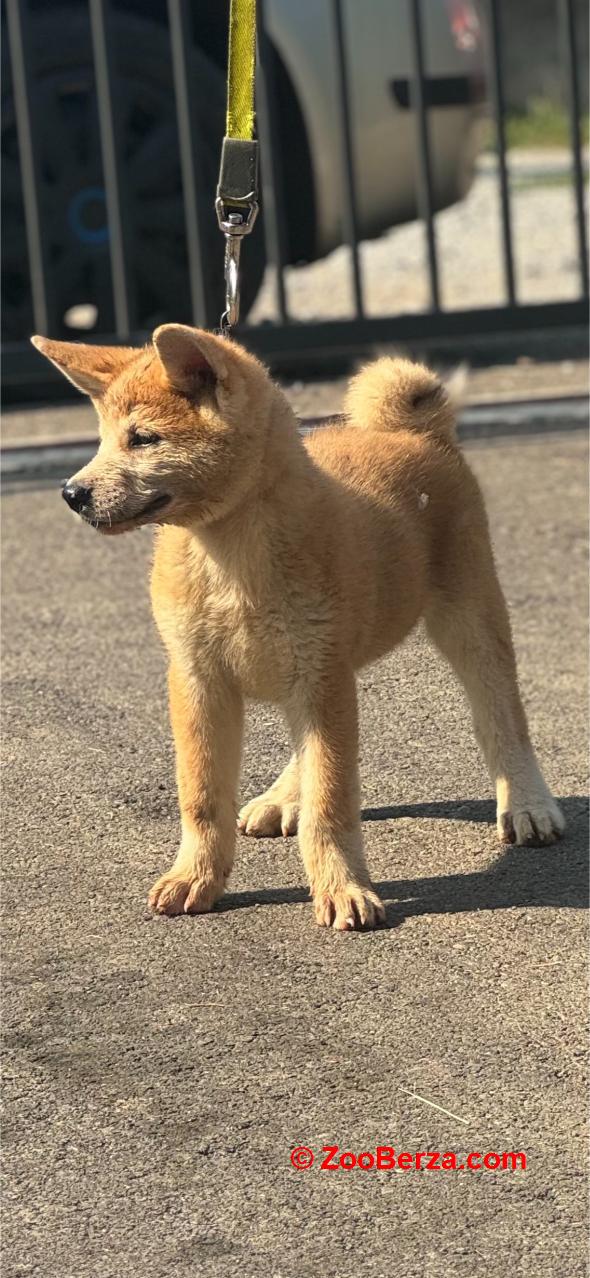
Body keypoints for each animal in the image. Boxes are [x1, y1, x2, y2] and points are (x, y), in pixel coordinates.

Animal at [31, 329, 561, 930]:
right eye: (101, 440)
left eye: (143, 439)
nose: (71, 493)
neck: (229, 557)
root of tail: (414, 431)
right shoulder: (200, 680)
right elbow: (202, 797)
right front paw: (196, 876)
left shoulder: (320, 674)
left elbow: (330, 801)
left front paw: (341, 886)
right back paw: (284, 796)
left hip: (466, 621)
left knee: (502, 716)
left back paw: (527, 803)